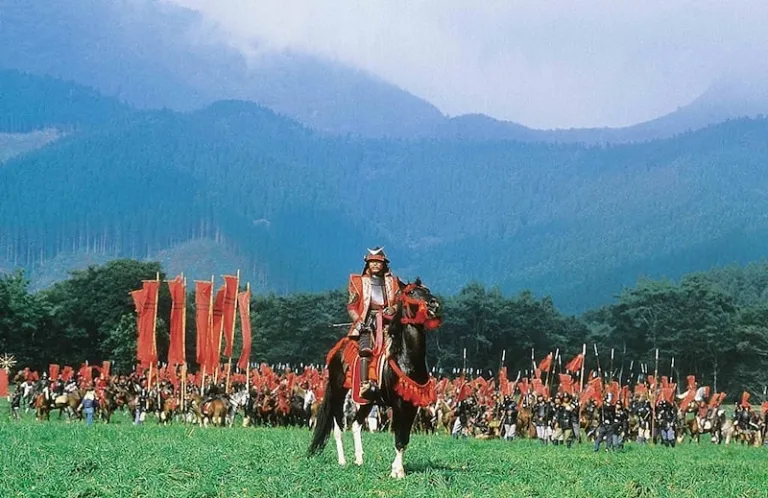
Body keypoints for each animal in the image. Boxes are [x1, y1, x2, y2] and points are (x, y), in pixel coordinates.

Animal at [308, 279, 440, 478]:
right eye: (411, 293)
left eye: (427, 290)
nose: (434, 304)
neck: (406, 358)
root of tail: (336, 353)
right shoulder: (399, 404)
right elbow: (399, 436)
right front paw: (397, 471)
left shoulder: (412, 404)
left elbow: (405, 437)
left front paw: (398, 469)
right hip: (339, 393)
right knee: (339, 426)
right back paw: (342, 461)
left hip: (367, 401)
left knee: (356, 424)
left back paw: (359, 459)